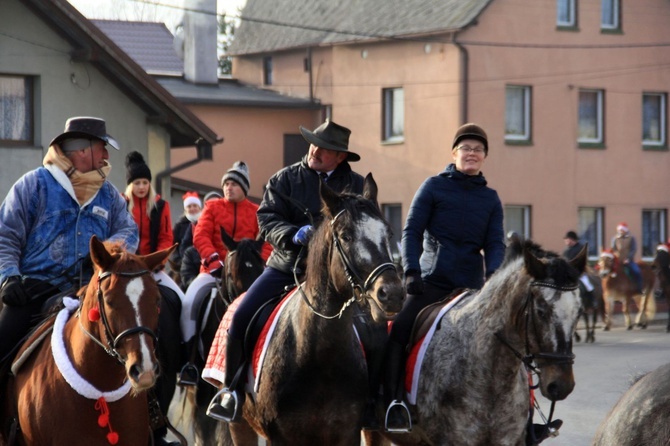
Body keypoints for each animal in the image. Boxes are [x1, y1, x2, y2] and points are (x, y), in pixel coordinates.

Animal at [223, 174, 406, 446]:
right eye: (345, 236)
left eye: (388, 232)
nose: (392, 294)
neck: (318, 356)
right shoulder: (281, 436)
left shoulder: (346, 434)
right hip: (240, 424)